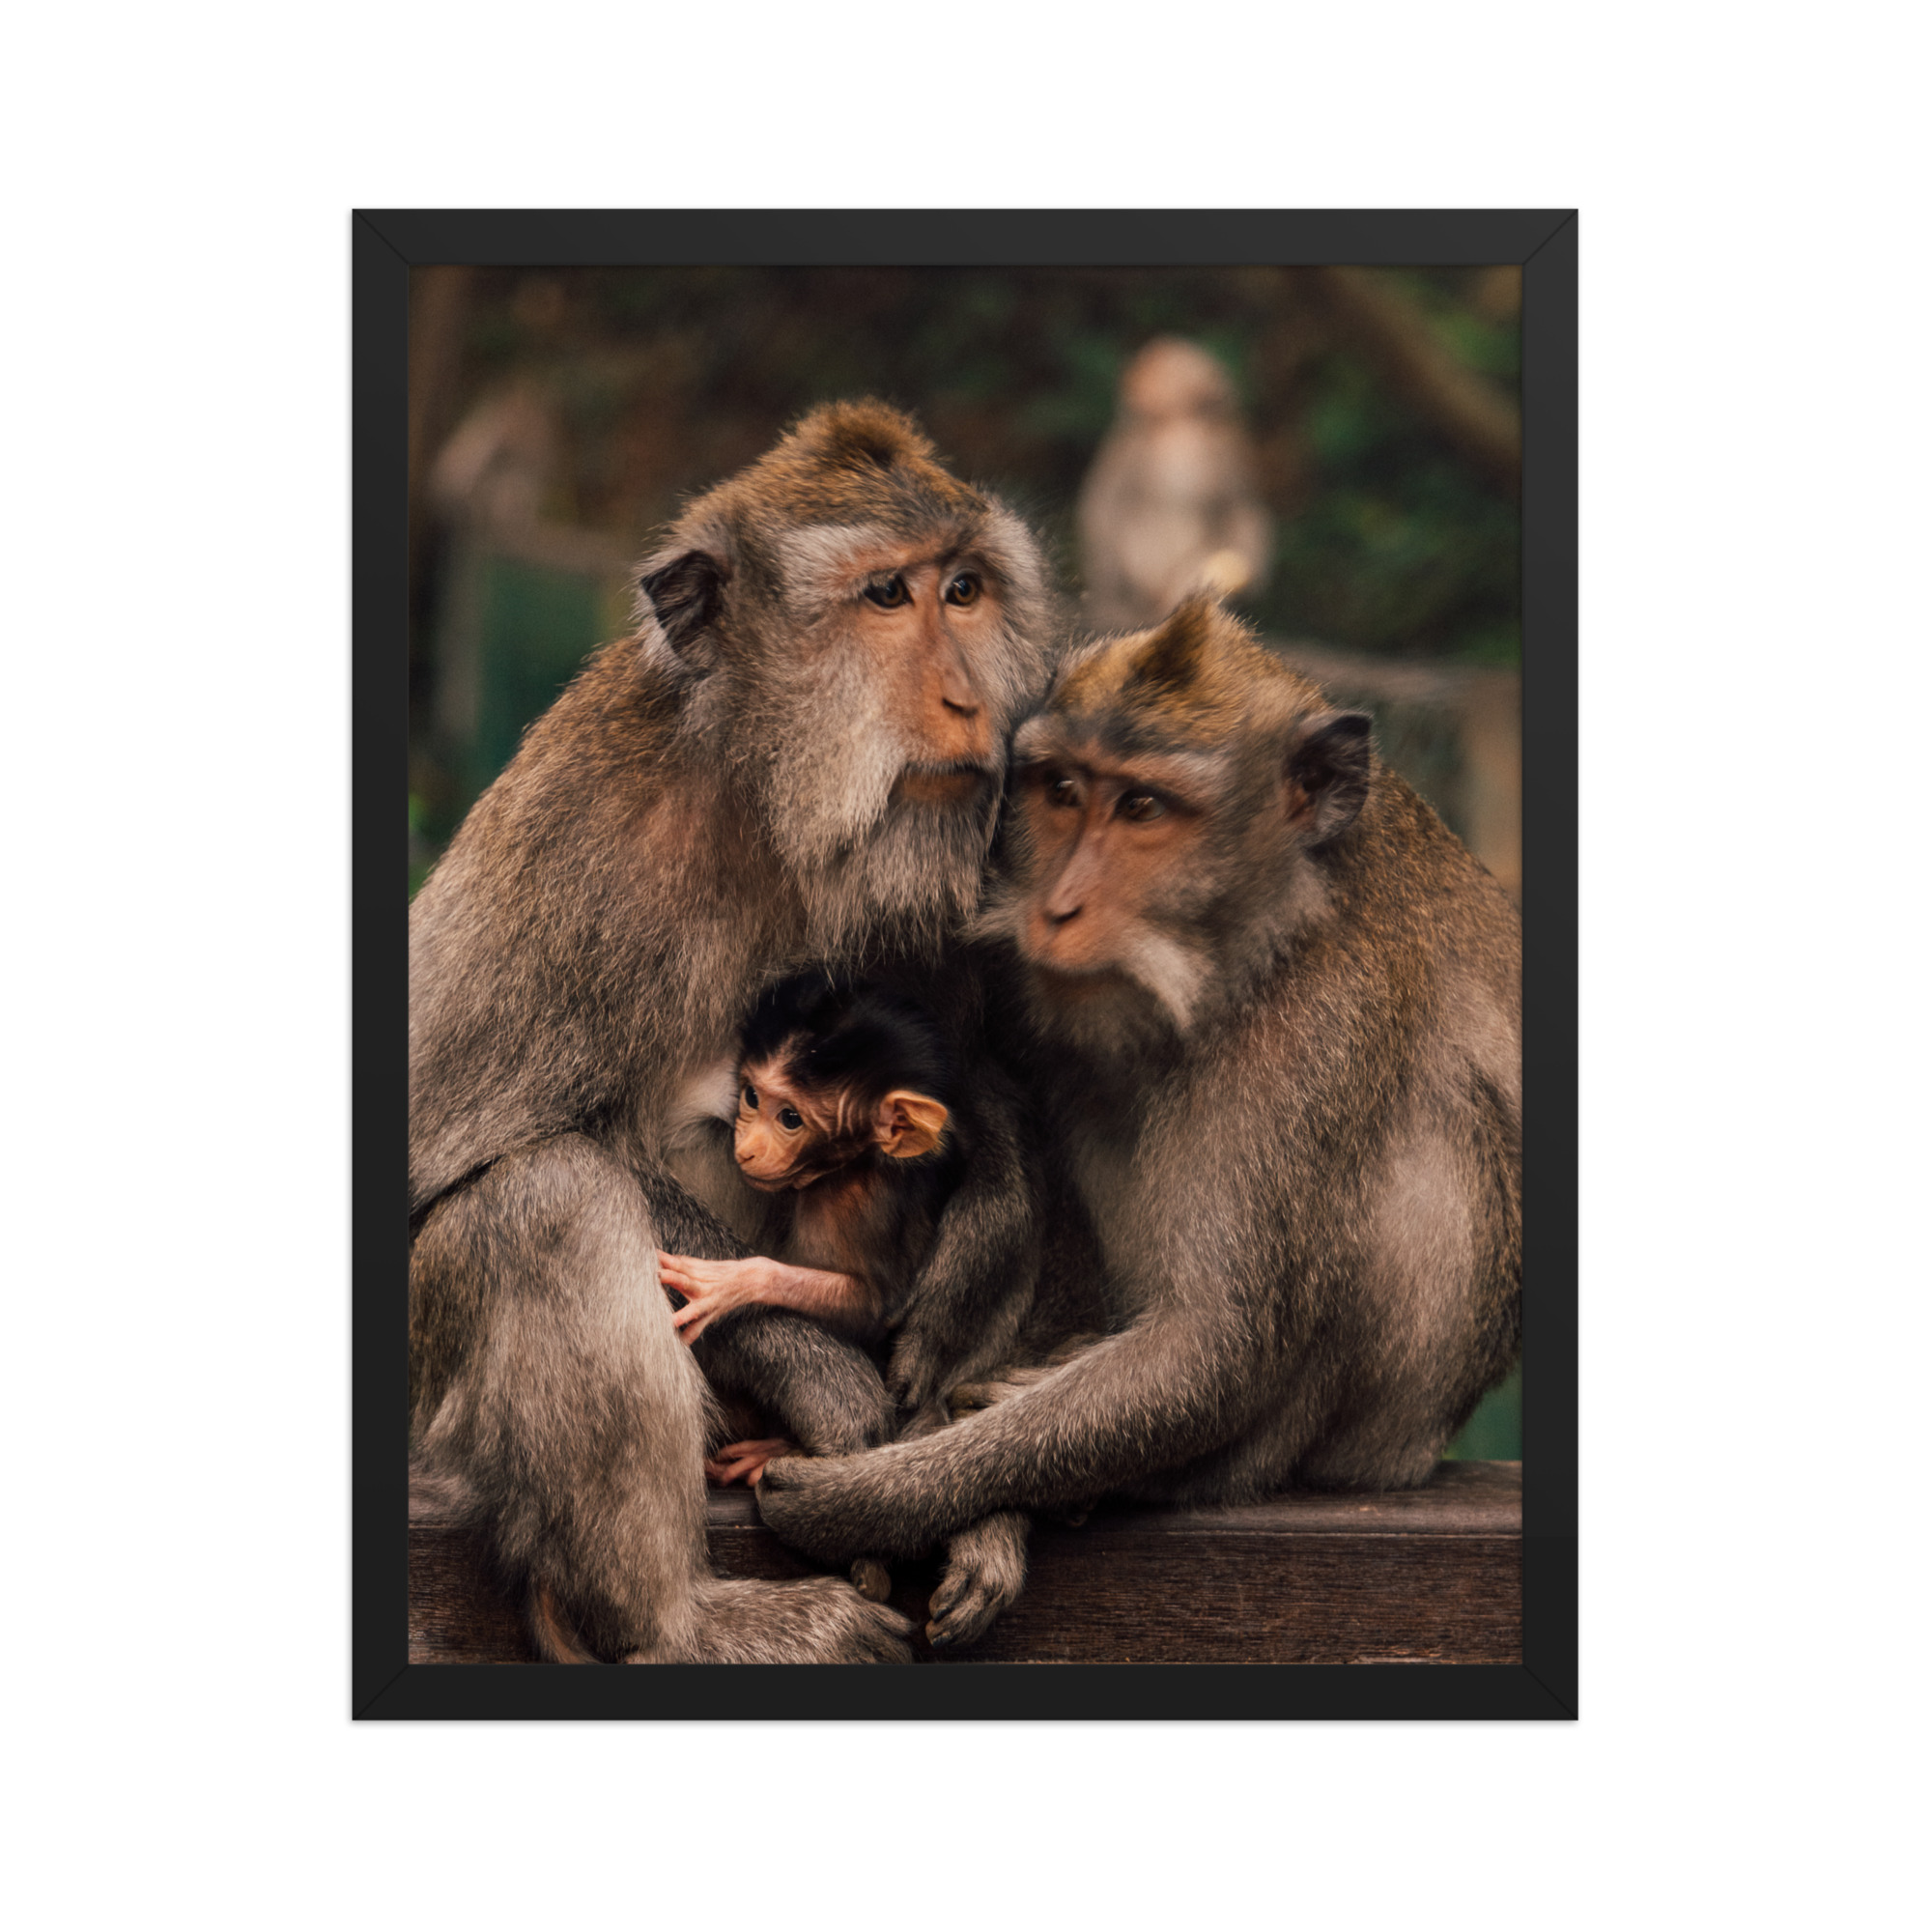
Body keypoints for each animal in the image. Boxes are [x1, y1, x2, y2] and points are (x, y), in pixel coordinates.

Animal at [408, 401, 1057, 1663]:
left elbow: (975, 1088)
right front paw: (829, 1383)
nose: (970, 702)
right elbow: (456, 1166)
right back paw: (677, 1622)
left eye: (963, 589)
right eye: (884, 597)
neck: (769, 803)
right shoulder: (582, 839)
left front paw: (987, 1239)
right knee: (541, 1200)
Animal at [754, 595, 1522, 1581]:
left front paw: (872, 1499)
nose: (1058, 909)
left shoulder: (1323, 1018)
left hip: (1380, 1431)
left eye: (1144, 807)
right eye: (1063, 790)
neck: (1258, 936)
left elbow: (1213, 1349)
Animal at [1076, 339, 1274, 630]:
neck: (1179, 428)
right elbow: (1106, 506)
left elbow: (1239, 508)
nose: (1129, 409)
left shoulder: (1228, 445)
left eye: (1145, 394)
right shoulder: (1132, 443)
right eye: (1131, 395)